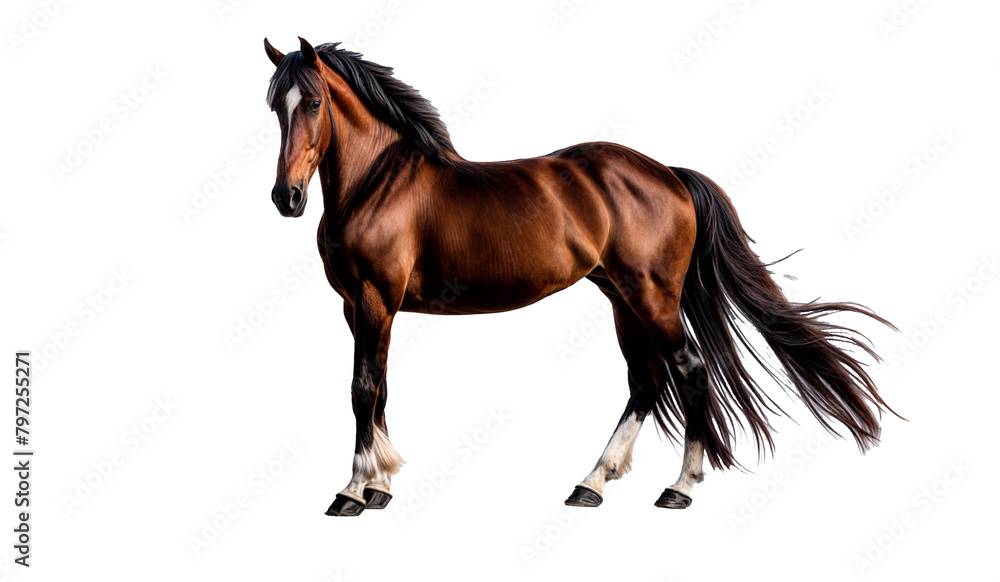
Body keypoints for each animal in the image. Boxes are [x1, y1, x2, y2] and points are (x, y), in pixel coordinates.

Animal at [262, 37, 898, 516]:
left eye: (313, 101)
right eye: (275, 105)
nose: (285, 198)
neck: (379, 183)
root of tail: (667, 173)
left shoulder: (375, 299)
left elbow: (361, 386)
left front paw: (353, 491)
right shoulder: (360, 306)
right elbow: (381, 389)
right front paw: (380, 486)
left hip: (650, 296)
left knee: (688, 369)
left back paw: (678, 488)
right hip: (621, 298)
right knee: (646, 380)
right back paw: (592, 482)